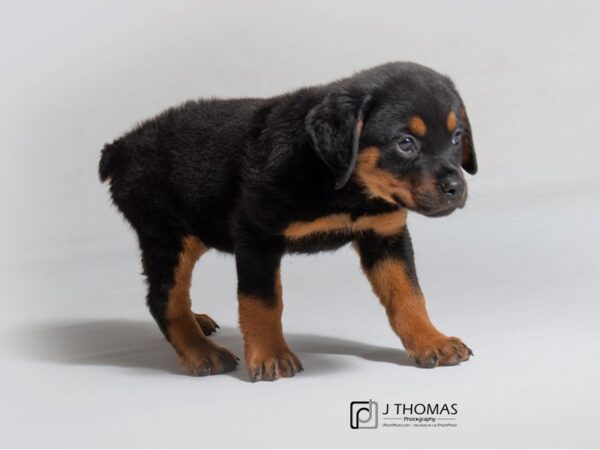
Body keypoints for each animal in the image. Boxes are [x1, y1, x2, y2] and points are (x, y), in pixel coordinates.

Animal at [101, 61, 480, 382]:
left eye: (456, 137)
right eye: (405, 143)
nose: (456, 188)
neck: (340, 182)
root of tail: (121, 146)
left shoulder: (385, 235)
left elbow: (408, 294)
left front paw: (431, 340)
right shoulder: (256, 235)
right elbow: (262, 302)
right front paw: (271, 356)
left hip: (194, 230)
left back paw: (198, 325)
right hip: (166, 235)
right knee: (164, 298)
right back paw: (200, 351)